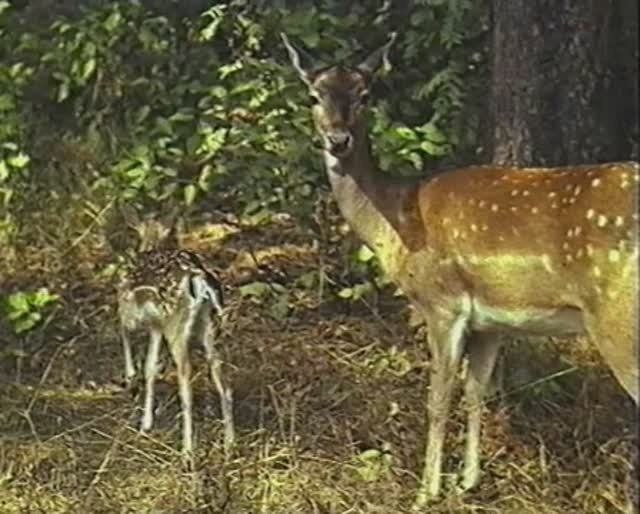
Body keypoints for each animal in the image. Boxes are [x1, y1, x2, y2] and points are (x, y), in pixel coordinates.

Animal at [282, 31, 640, 504]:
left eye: (365, 95)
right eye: (313, 95)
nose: (337, 140)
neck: (396, 221)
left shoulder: (442, 303)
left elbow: (438, 398)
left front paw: (425, 492)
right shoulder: (491, 321)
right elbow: (475, 392)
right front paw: (469, 481)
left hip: (616, 317)